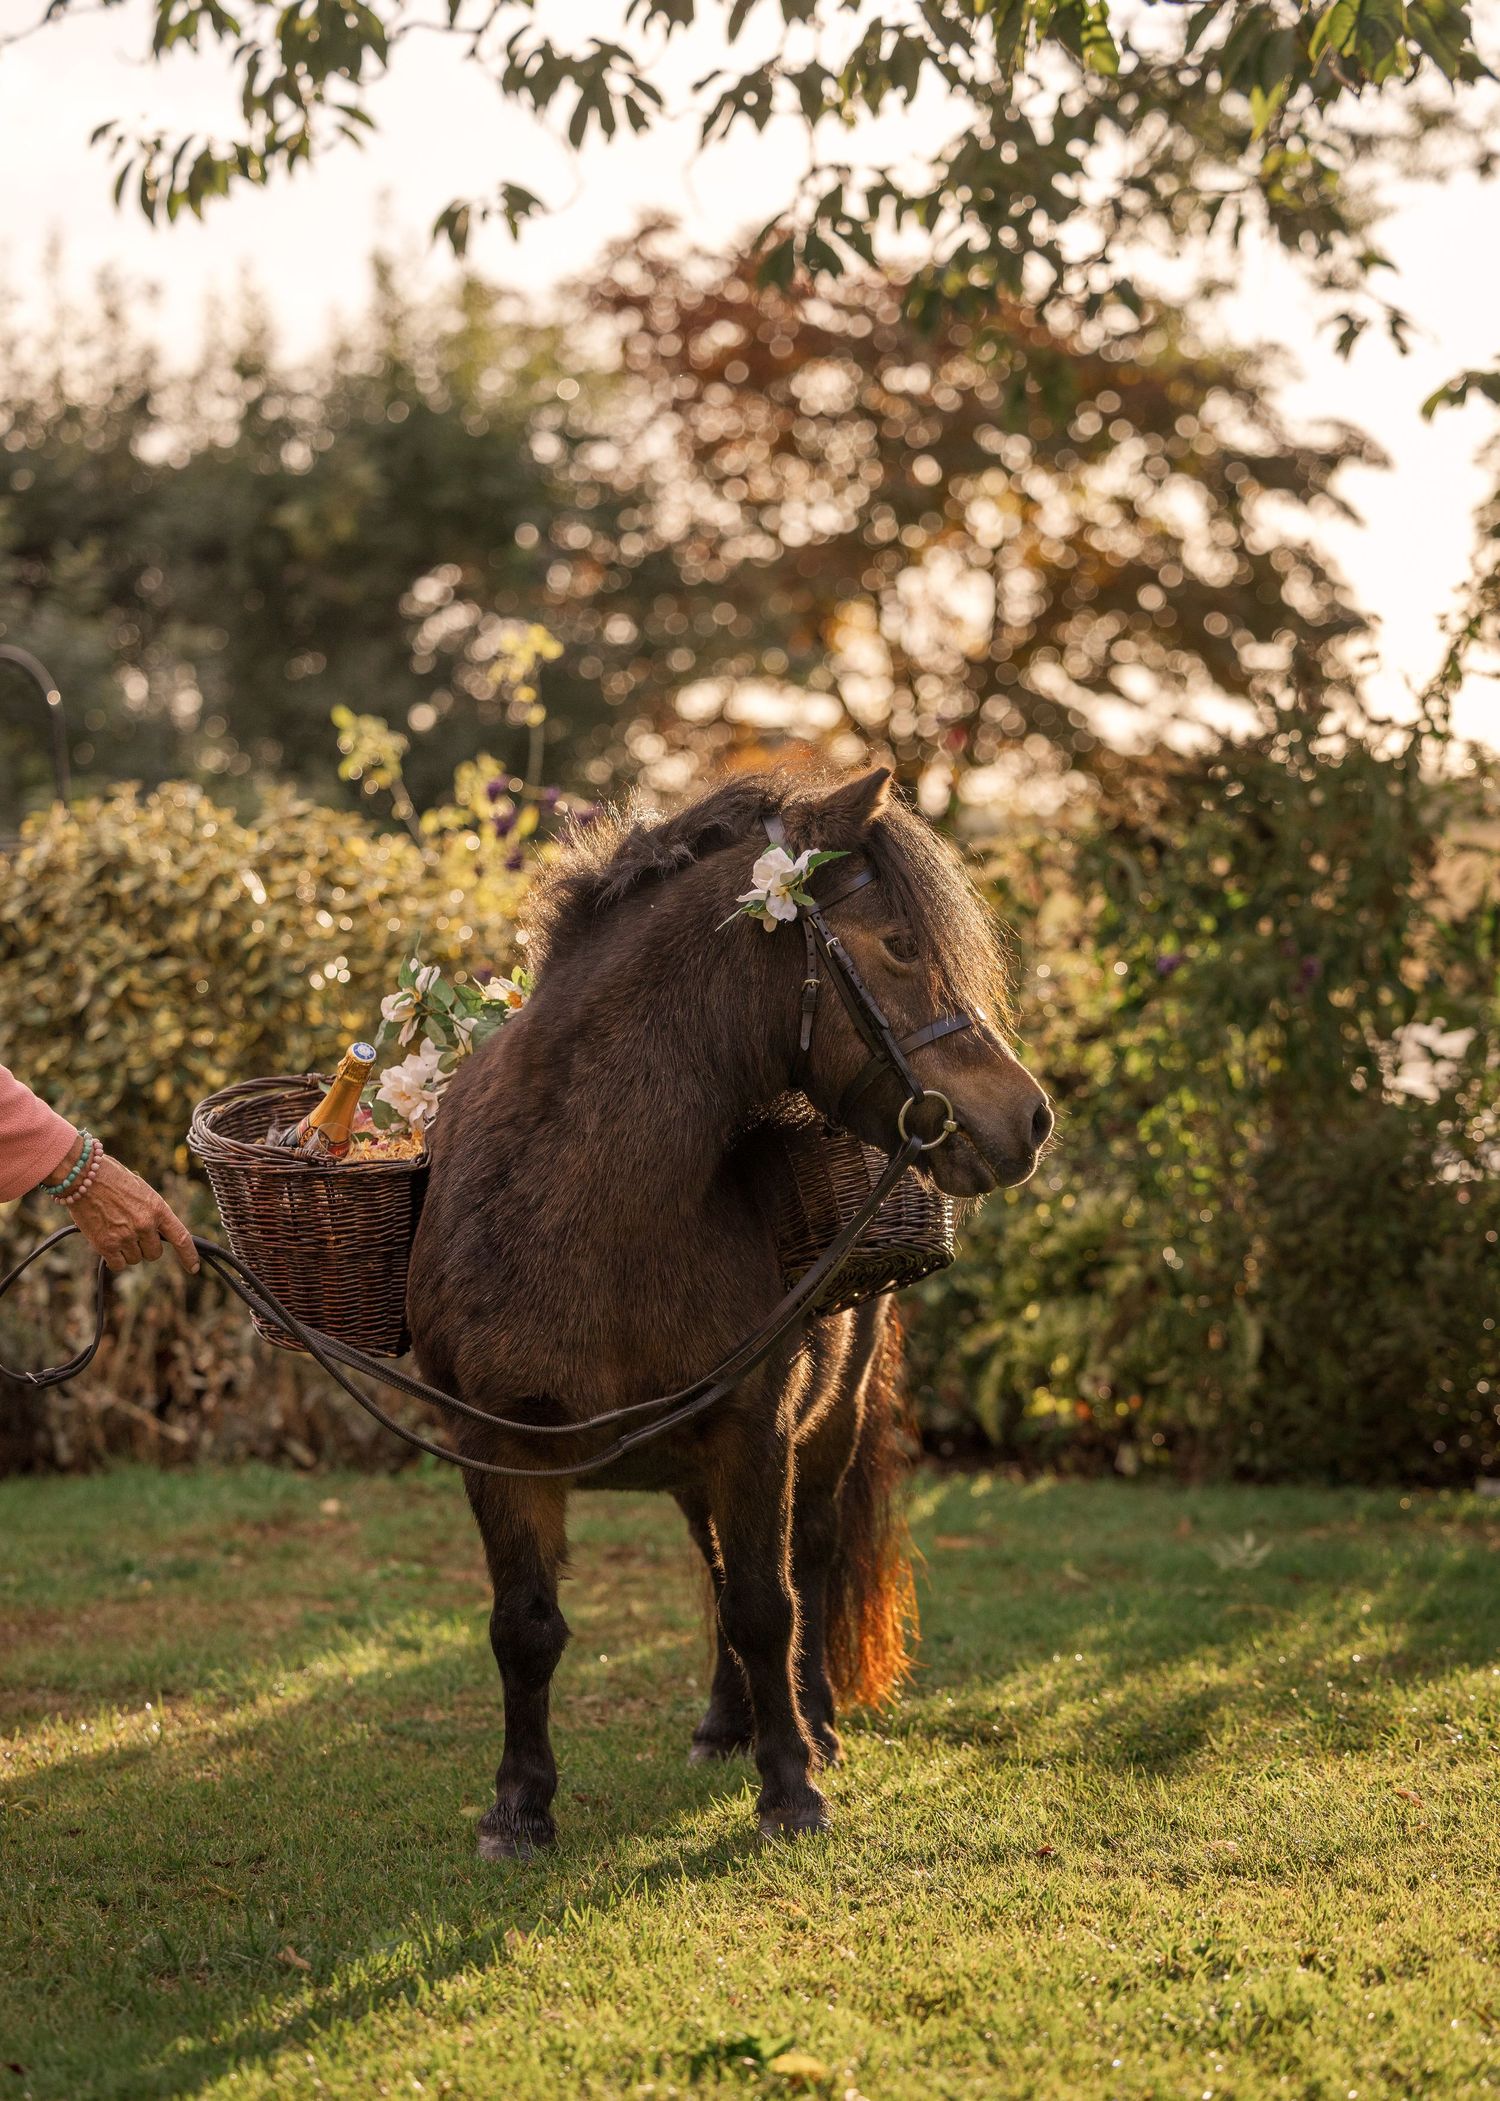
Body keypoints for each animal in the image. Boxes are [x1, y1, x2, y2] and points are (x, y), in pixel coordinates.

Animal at [407, 766, 1051, 1856]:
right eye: (901, 944)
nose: (1032, 1117)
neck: (592, 1216)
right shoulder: (497, 1445)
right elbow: (525, 1625)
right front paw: (519, 1804)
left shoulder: (757, 1428)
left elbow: (766, 1604)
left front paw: (792, 1784)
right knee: (711, 1564)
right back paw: (722, 1723)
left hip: (824, 1430)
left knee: (813, 1557)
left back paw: (814, 1722)